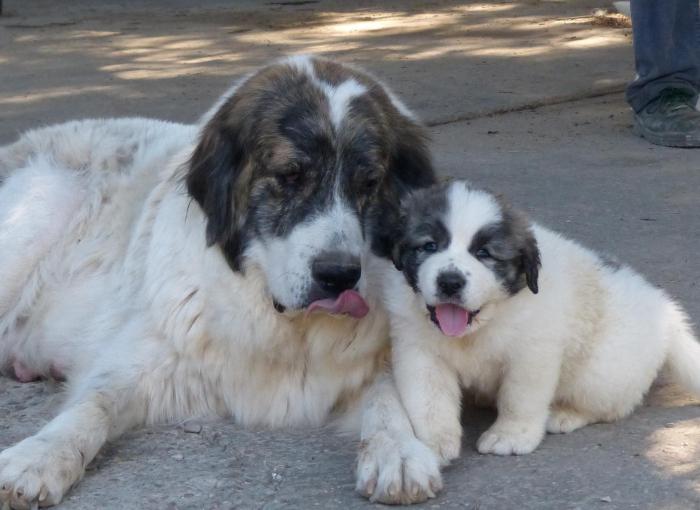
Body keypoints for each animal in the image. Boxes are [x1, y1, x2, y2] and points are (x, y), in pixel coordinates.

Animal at [0, 56, 440, 510]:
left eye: (368, 183)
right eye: (290, 176)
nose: (339, 274)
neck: (284, 328)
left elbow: (389, 395)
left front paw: (398, 451)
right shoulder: (140, 360)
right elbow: (93, 405)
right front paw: (39, 457)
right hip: (41, 206)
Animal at [386, 179, 700, 462]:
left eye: (484, 253)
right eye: (429, 246)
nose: (450, 282)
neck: (481, 326)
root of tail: (664, 309)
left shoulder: (532, 351)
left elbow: (519, 397)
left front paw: (510, 436)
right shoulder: (419, 350)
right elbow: (429, 400)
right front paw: (433, 444)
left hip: (603, 371)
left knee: (609, 406)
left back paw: (566, 414)